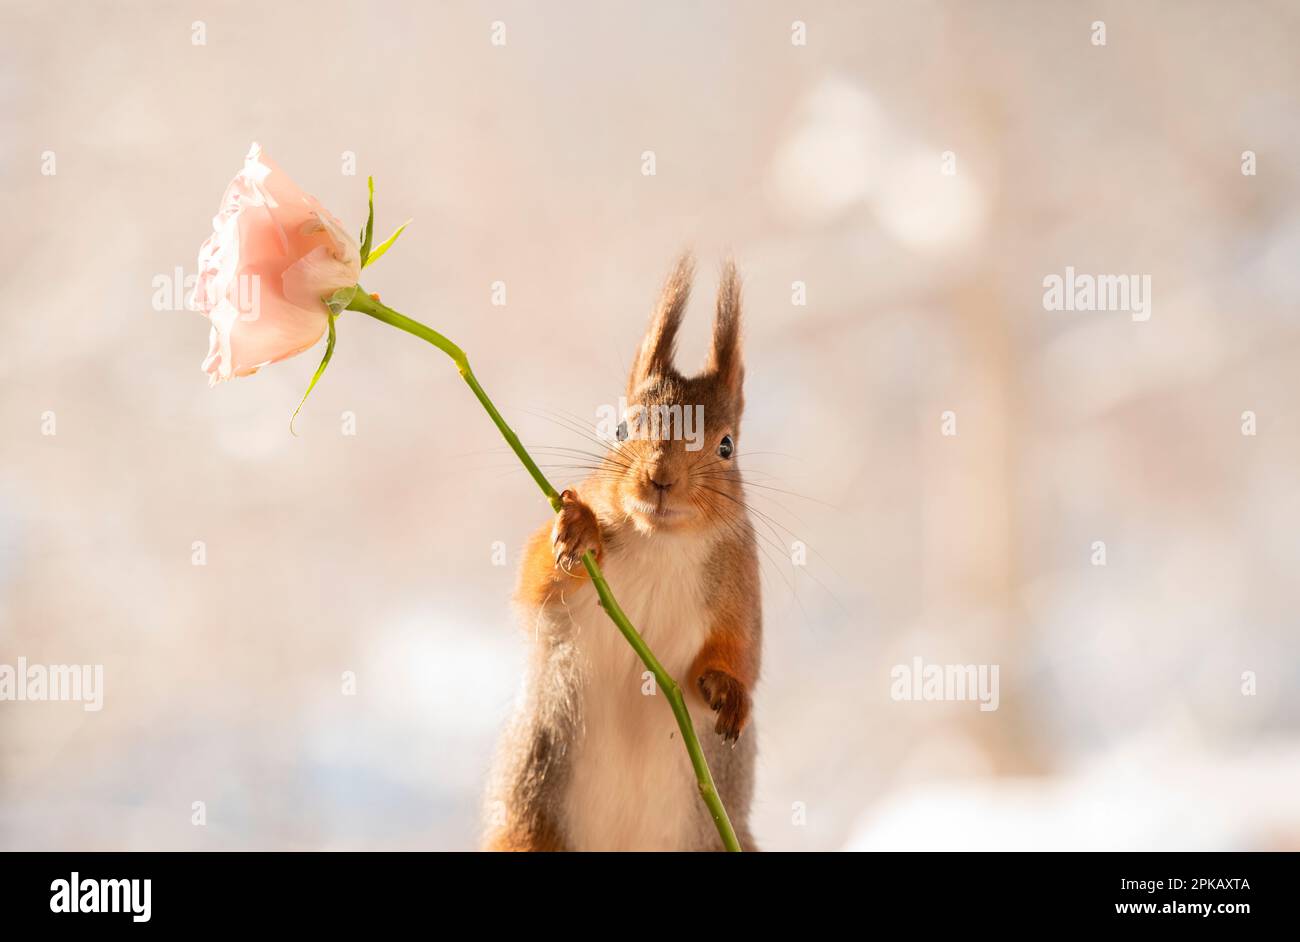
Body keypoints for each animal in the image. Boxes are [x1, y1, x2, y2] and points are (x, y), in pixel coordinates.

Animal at [486, 253, 759, 847]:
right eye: (619, 428)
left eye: (727, 446)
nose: (660, 477)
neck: (661, 541)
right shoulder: (552, 602)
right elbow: (534, 580)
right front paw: (579, 529)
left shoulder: (741, 579)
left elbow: (742, 650)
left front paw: (729, 691)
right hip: (529, 820)